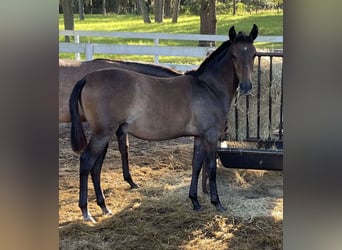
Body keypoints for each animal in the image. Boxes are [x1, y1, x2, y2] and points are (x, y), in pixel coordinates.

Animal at [69, 24, 258, 222]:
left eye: (253, 54)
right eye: (234, 55)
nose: (246, 86)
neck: (208, 88)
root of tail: (87, 78)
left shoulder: (199, 137)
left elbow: (196, 166)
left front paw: (195, 201)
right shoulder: (211, 136)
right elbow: (212, 168)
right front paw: (217, 203)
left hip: (105, 135)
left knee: (96, 167)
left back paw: (104, 207)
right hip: (102, 134)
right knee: (86, 162)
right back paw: (86, 212)